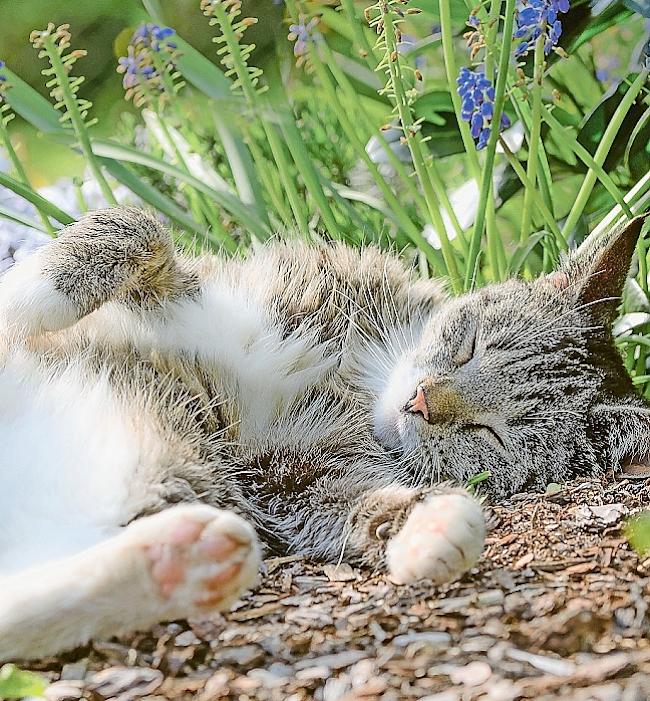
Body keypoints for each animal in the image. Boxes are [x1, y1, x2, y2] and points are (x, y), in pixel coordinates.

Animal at [0, 205, 644, 660]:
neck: (353, 372)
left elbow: (364, 504)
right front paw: (23, 301)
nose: (421, 402)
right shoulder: (204, 296)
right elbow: (135, 227)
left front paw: (432, 523)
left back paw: (181, 559)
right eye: (470, 347)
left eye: (490, 433)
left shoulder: (289, 477)